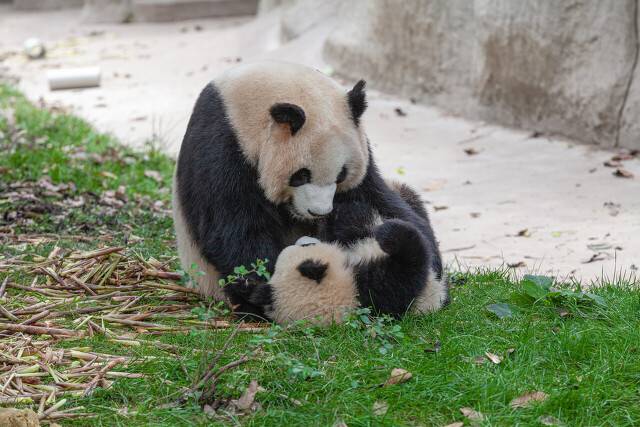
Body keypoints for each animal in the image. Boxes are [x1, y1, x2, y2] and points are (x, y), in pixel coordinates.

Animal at [172, 61, 444, 320]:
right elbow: (233, 225)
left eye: (341, 174)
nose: (319, 212)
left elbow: (380, 200)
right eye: (301, 176)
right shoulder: (223, 142)